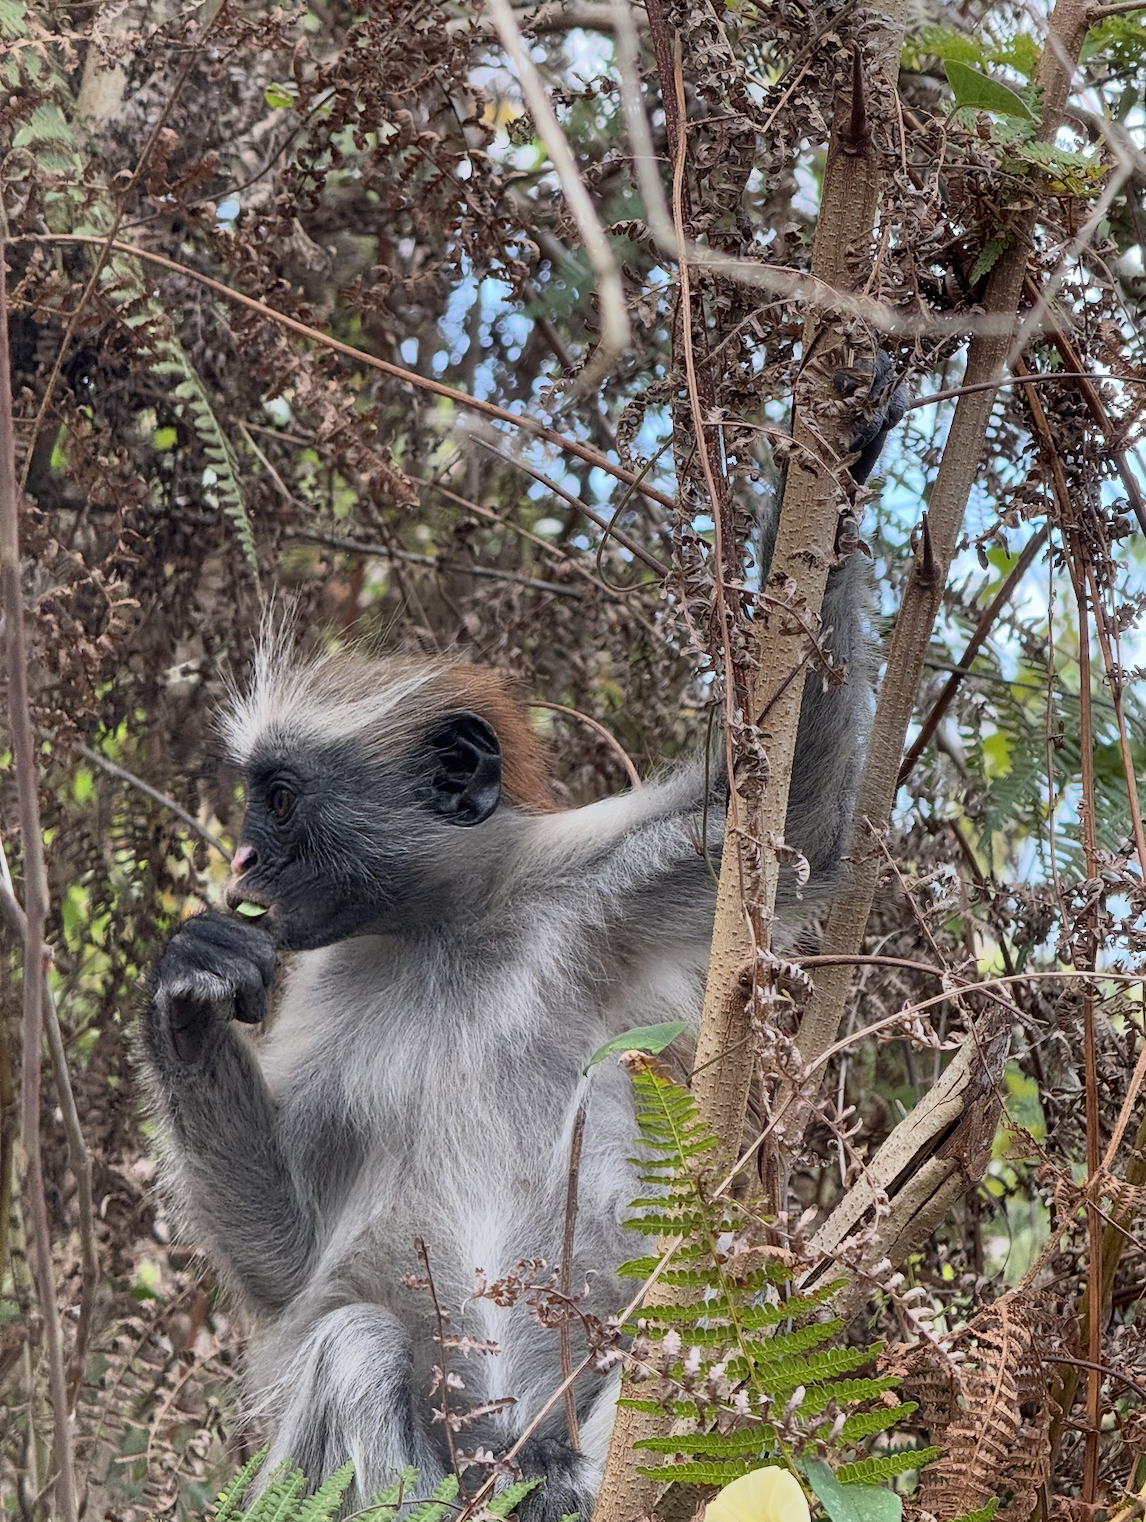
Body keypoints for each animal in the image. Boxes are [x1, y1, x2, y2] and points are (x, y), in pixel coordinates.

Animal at [137, 379, 903, 1520]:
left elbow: (796, 817)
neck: (445, 931)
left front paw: (843, 454)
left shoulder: (586, 886)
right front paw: (187, 993)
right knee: (357, 1344)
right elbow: (285, 1262)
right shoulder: (328, 977)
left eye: (276, 800)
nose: (241, 857)